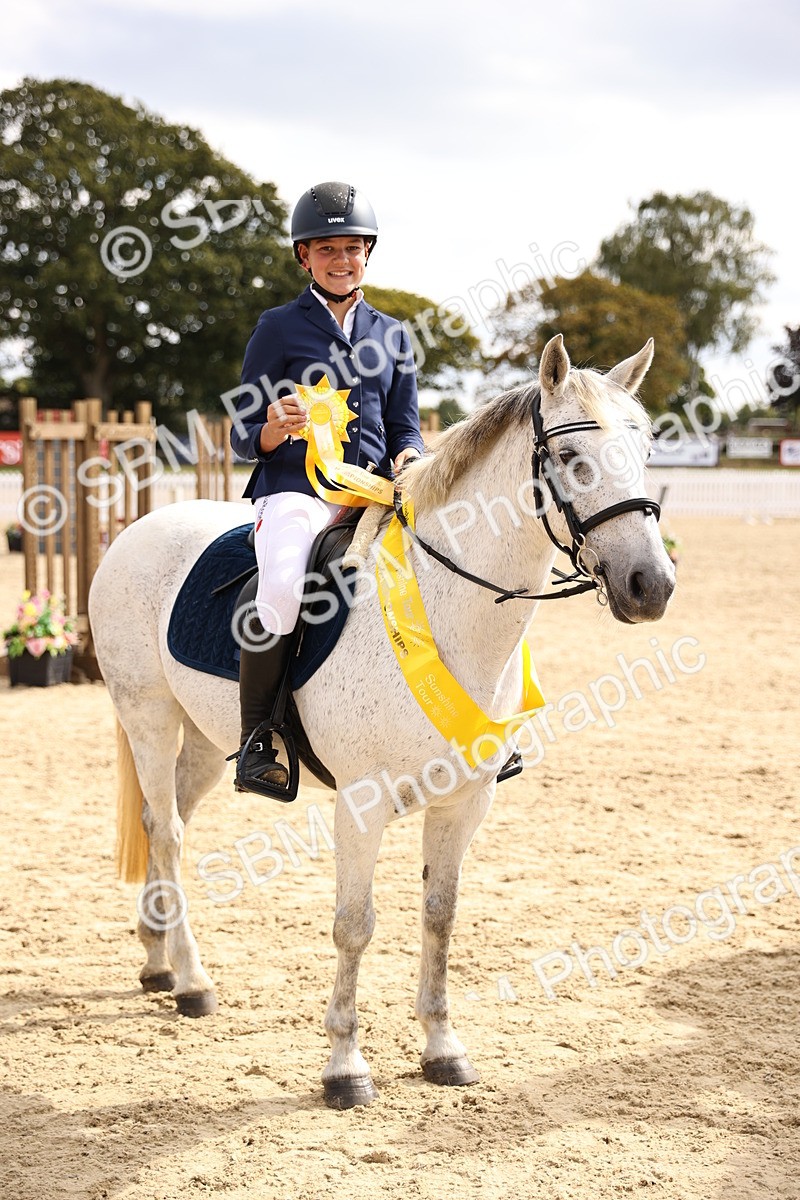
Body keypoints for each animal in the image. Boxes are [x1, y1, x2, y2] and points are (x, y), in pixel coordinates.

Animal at [89, 334, 675, 1109]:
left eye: (646, 450)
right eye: (573, 457)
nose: (652, 586)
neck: (448, 610)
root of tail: (140, 527)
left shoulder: (465, 802)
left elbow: (439, 917)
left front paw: (442, 1049)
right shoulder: (361, 805)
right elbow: (355, 927)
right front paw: (345, 1066)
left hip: (205, 737)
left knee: (172, 822)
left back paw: (157, 959)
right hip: (148, 715)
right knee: (167, 830)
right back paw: (190, 980)